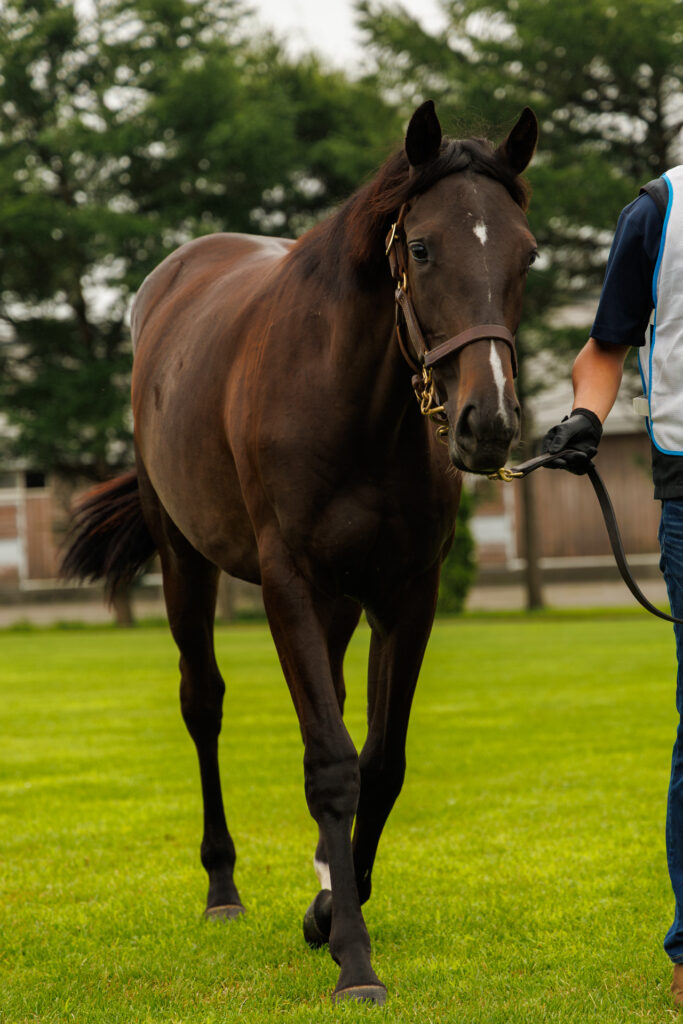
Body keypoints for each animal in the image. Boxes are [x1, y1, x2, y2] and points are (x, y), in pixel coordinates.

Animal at [62, 99, 538, 1005]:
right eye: (421, 248)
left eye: (525, 253)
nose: (487, 424)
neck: (353, 407)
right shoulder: (286, 583)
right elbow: (330, 764)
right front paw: (352, 956)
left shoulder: (405, 594)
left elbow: (377, 763)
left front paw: (328, 908)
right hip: (186, 561)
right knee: (202, 703)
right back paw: (222, 887)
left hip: (338, 602)